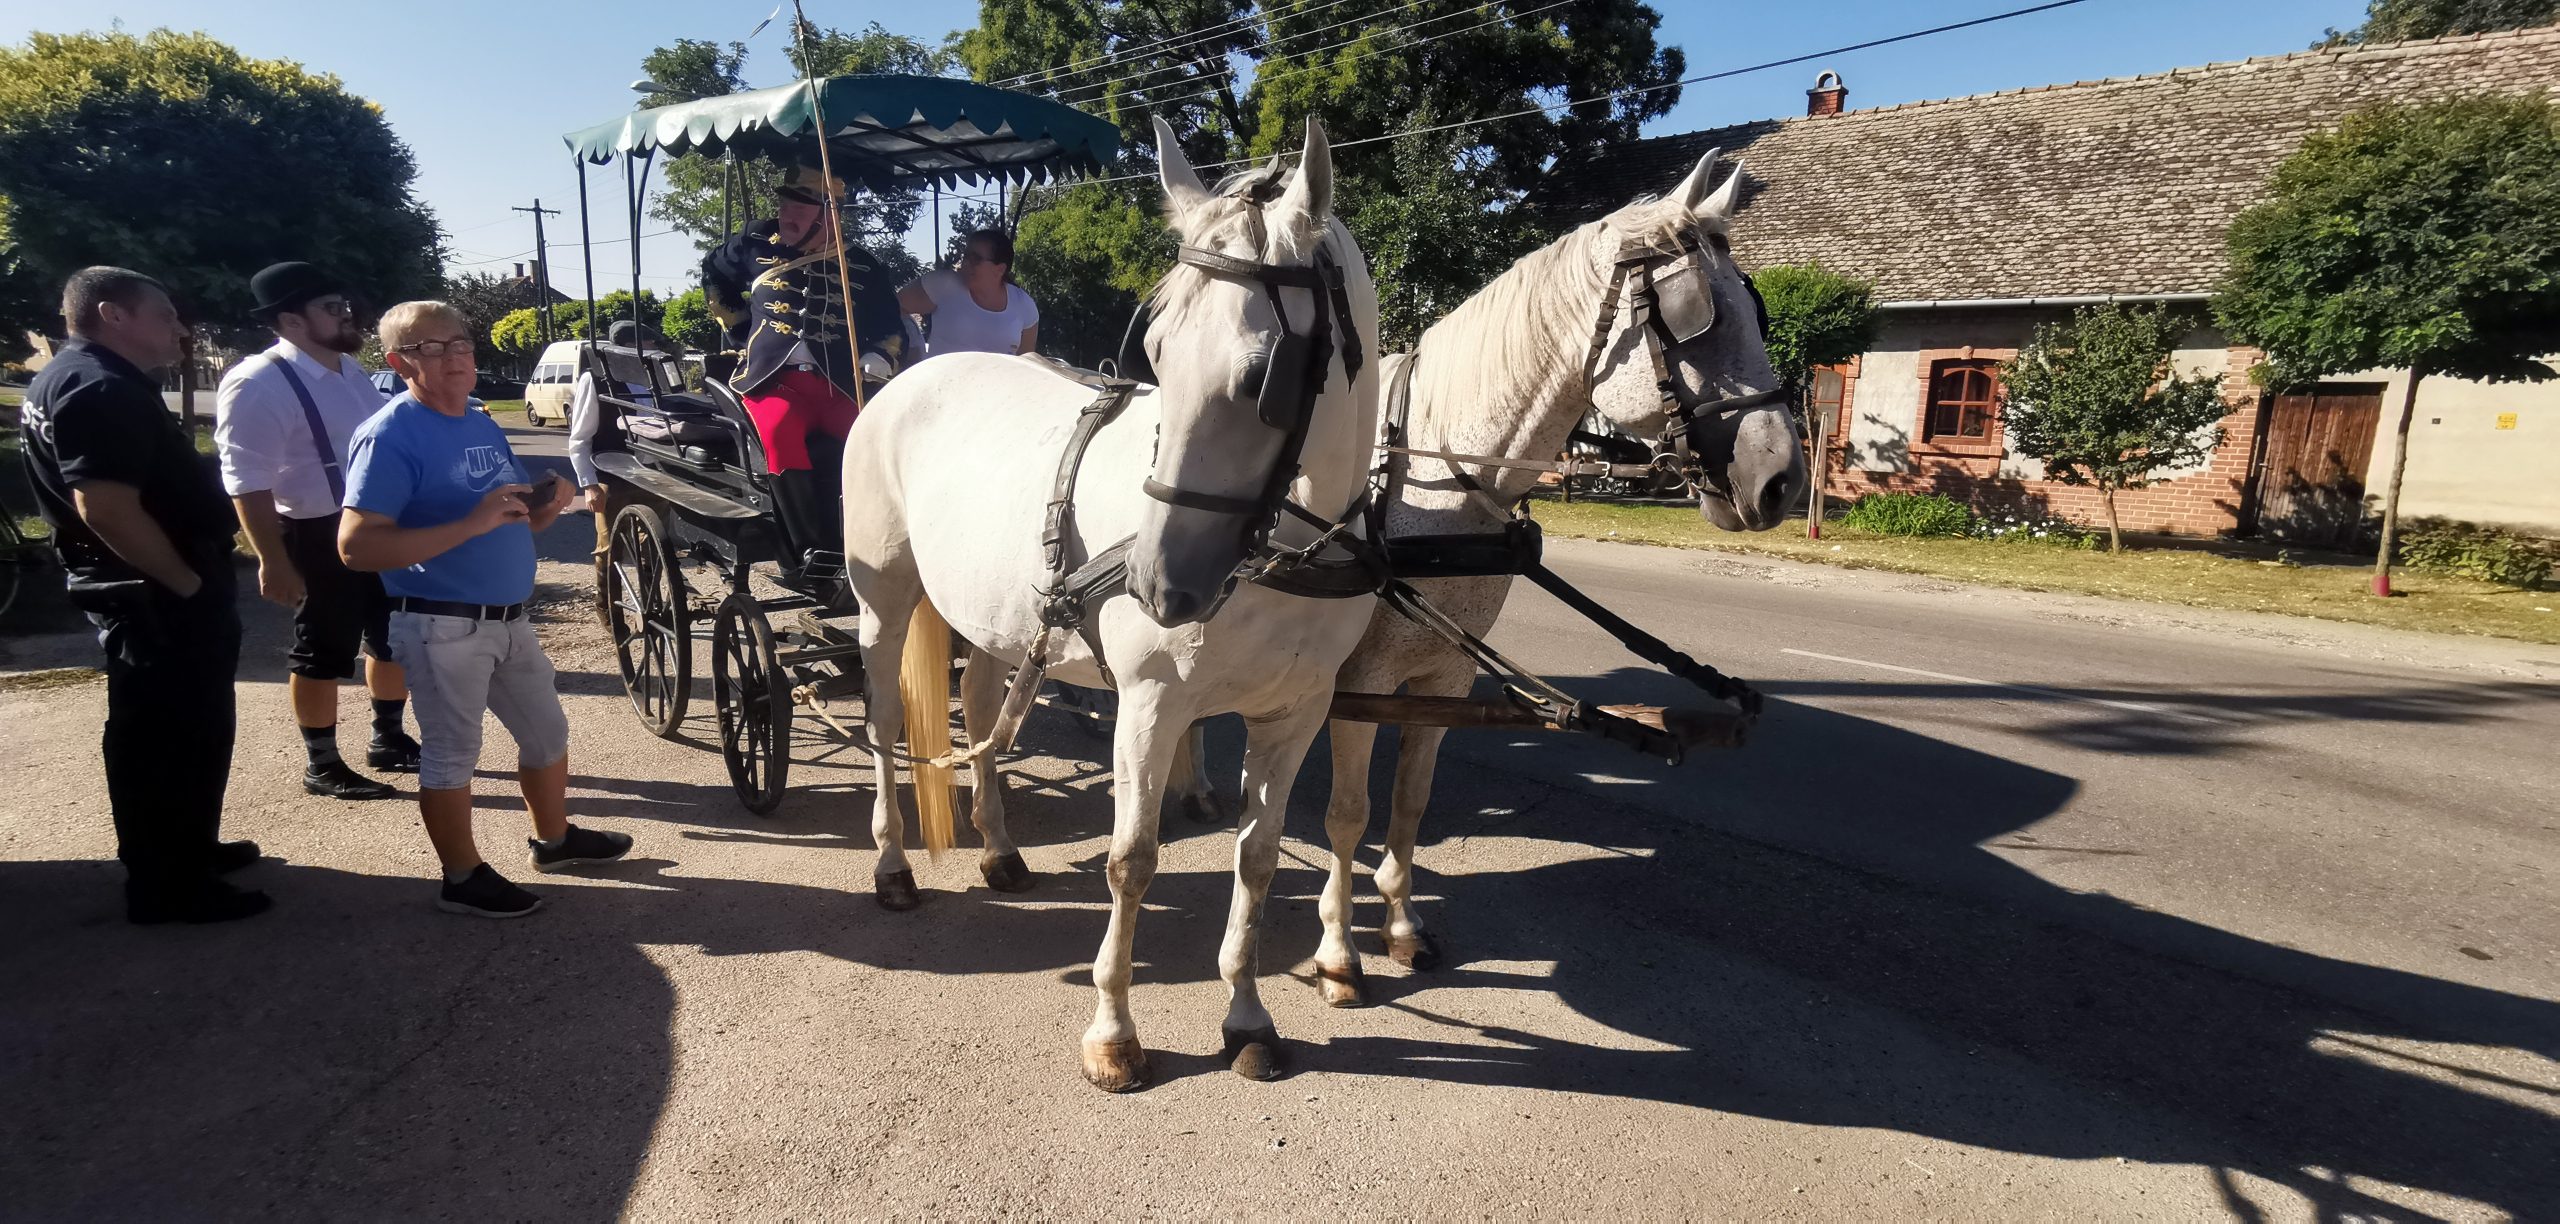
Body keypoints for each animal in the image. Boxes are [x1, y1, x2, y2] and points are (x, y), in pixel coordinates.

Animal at [844, 117, 1392, 1090]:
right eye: (1160, 351)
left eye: (1267, 374)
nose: (1161, 584)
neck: (1272, 556)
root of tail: (905, 377)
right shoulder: (1150, 707)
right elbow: (1132, 862)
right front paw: (1113, 1032)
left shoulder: (1296, 712)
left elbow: (1256, 861)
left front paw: (1246, 1016)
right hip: (885, 599)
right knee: (882, 717)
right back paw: (892, 863)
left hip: (996, 619)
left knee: (982, 705)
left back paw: (998, 848)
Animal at [1300, 150, 1802, 1003]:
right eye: (1694, 315)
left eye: (1756, 311)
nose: (1780, 481)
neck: (1433, 478)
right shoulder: (1357, 681)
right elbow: (1347, 812)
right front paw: (1338, 952)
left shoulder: (1443, 677)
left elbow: (1409, 803)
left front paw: (1401, 925)